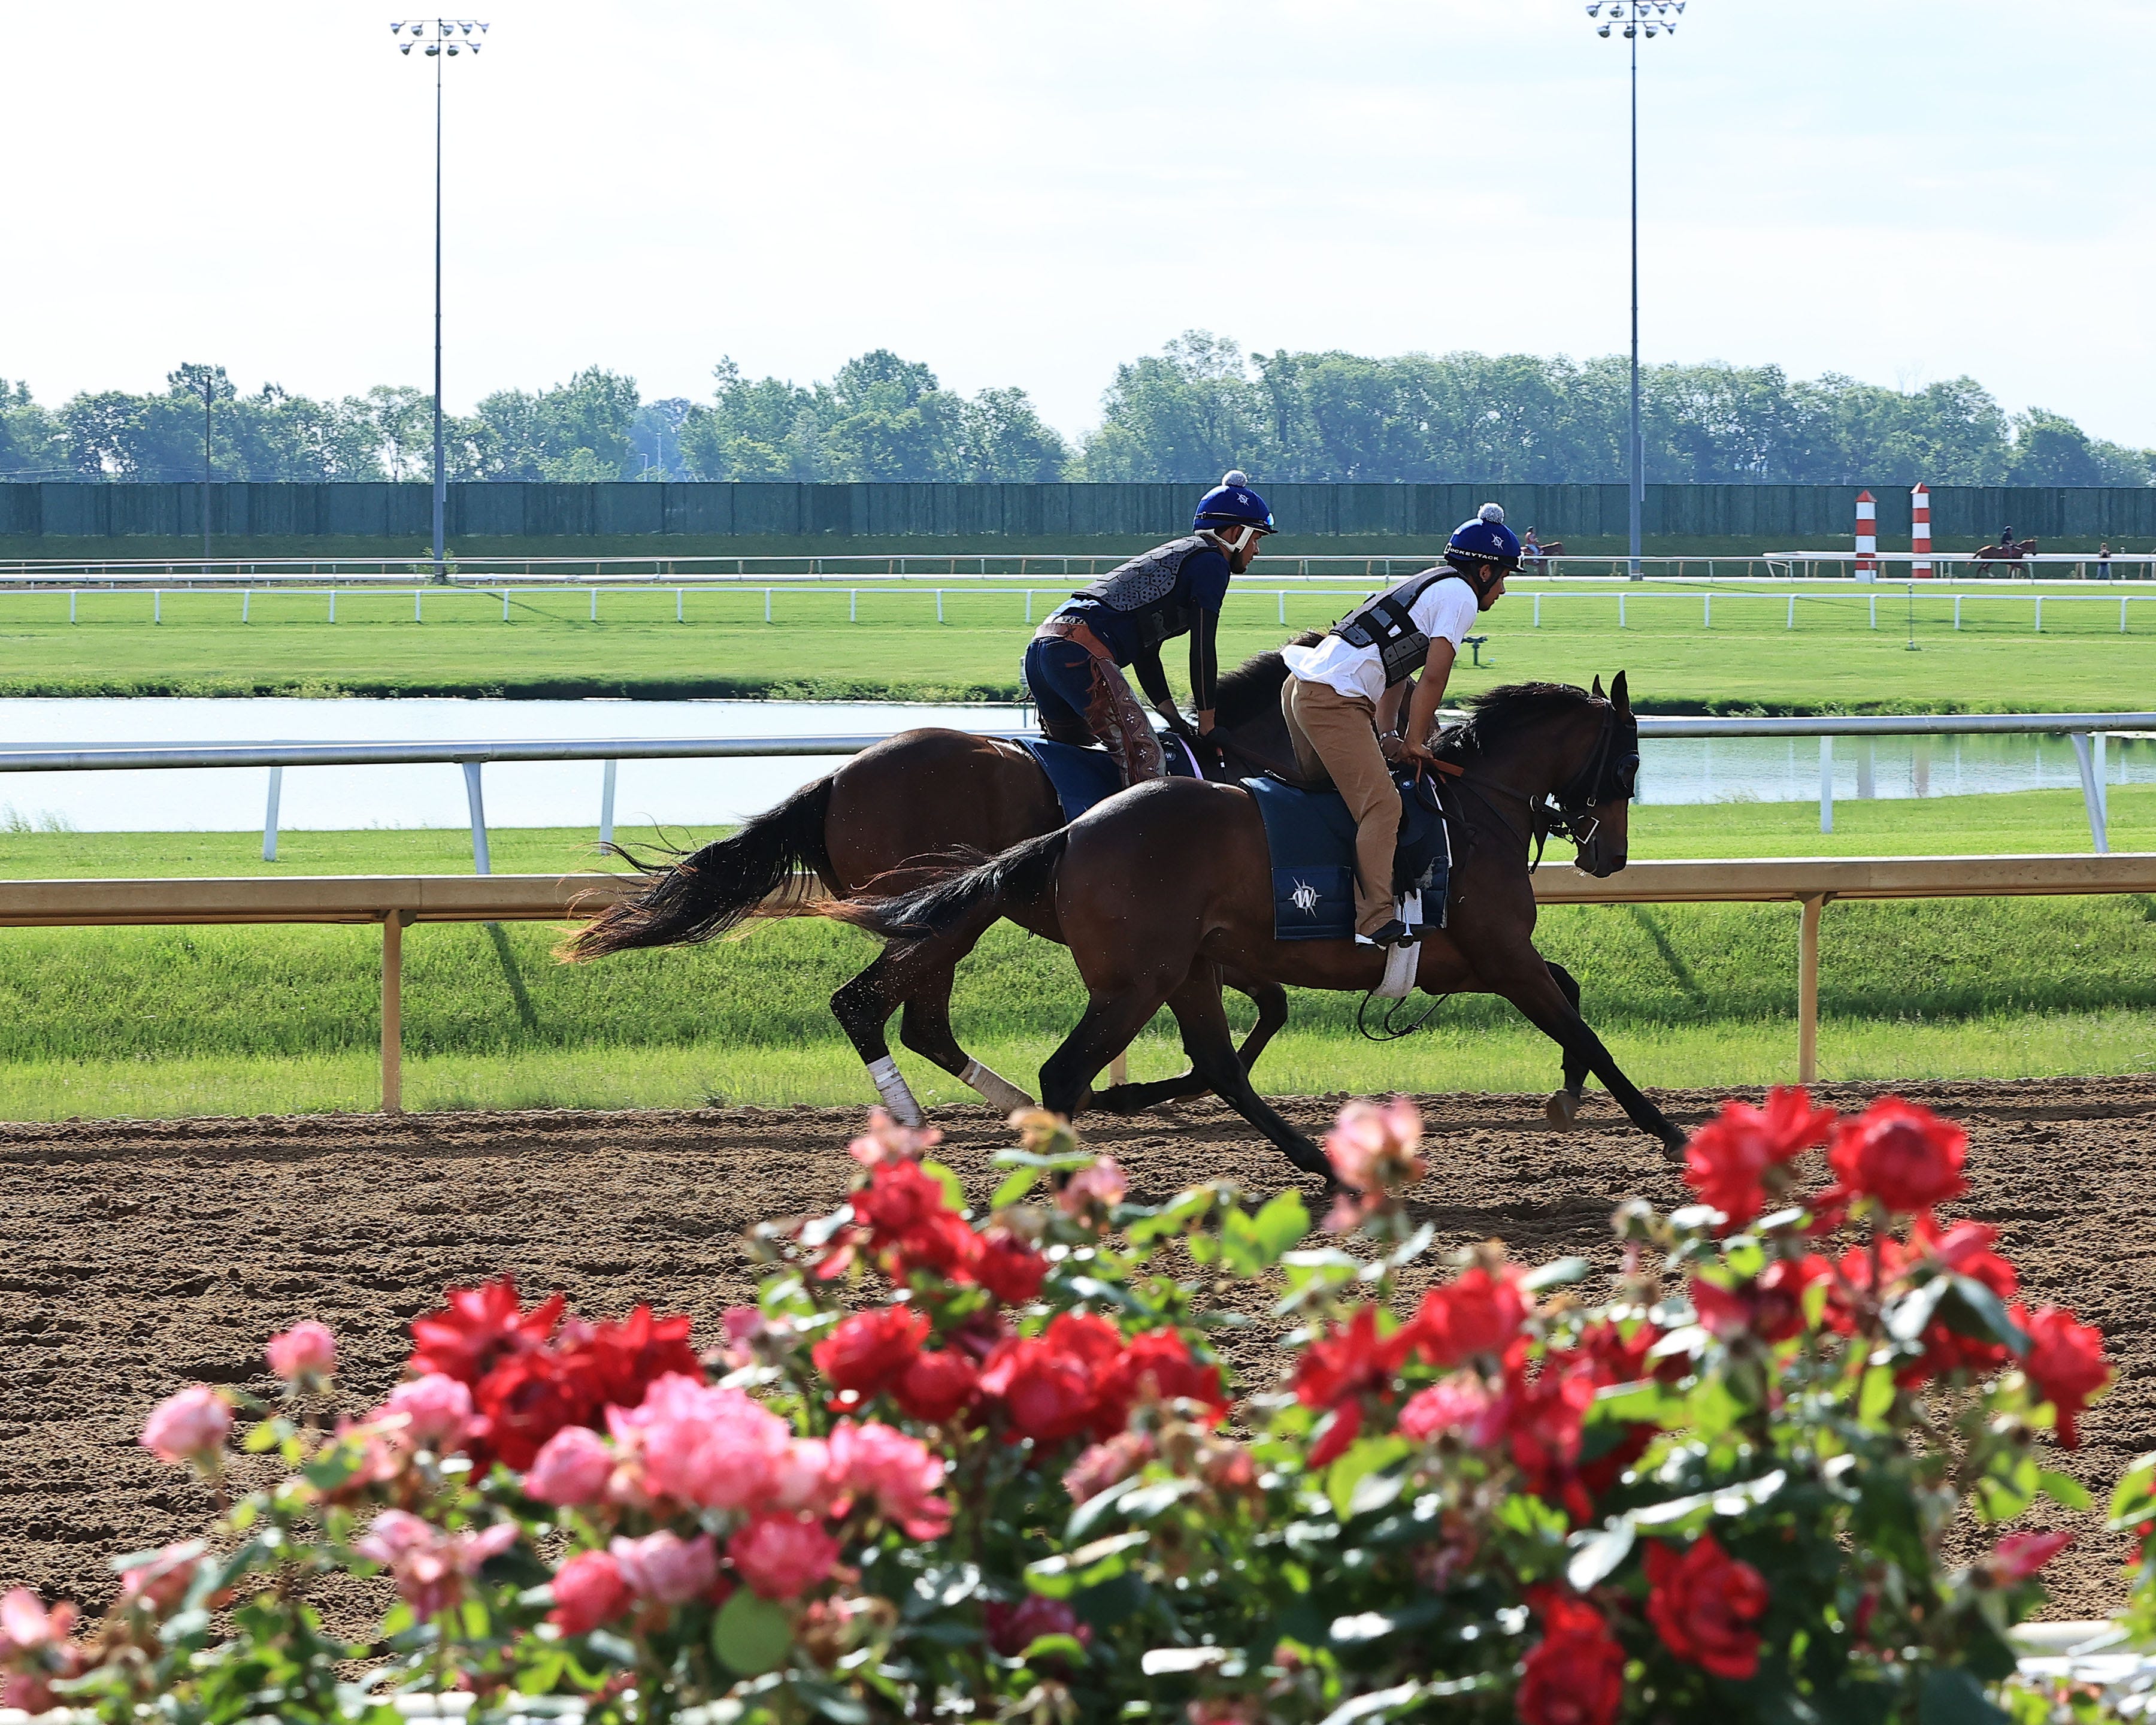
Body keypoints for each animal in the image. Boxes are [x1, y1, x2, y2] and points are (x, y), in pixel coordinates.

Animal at [556, 638, 1310, 1121]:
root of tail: (837, 780)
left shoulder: (1211, 940)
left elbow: (1270, 1008)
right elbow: (1259, 1017)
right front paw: (1132, 1093)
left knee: (917, 1025)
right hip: (947, 916)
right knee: (876, 1009)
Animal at [823, 673, 1682, 1190]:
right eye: (1629, 764)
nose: (1611, 856)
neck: (1474, 809)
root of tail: (1074, 831)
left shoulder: (1464, 961)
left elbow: (1572, 1001)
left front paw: (1568, 1097)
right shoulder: (1502, 954)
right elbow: (1586, 1027)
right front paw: (1668, 1131)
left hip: (1183, 969)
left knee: (1216, 1063)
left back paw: (1316, 1162)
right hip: (1134, 980)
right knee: (1059, 1073)